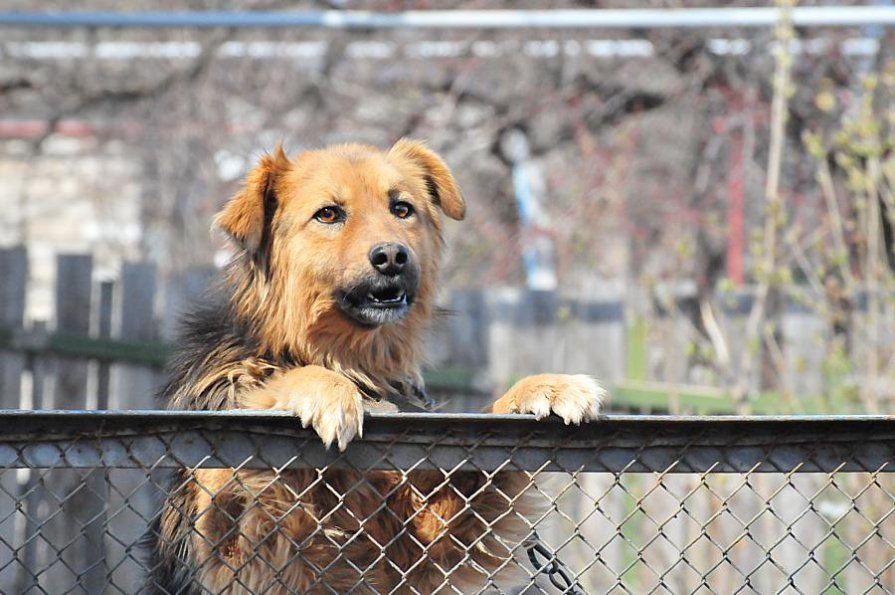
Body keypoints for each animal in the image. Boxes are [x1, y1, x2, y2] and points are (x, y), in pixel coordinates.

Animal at [150, 139, 604, 592]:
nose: (391, 256)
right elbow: (234, 454)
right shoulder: (245, 555)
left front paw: (546, 387)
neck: (356, 363)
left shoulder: (421, 549)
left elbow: (485, 427)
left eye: (401, 208)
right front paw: (326, 390)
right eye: (328, 214)